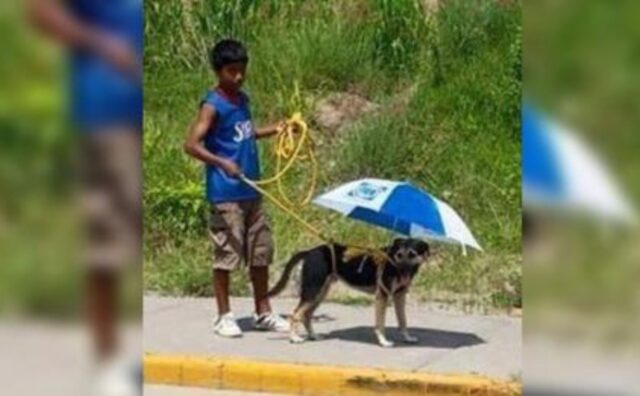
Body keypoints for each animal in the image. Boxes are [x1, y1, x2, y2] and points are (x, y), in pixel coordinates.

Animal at [264, 238, 430, 346]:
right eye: (399, 255)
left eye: (412, 254)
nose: (400, 269)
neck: (392, 259)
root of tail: (310, 251)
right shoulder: (382, 296)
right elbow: (380, 324)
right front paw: (383, 341)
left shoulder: (399, 296)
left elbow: (403, 321)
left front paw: (407, 338)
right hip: (312, 291)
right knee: (295, 314)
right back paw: (294, 338)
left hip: (320, 293)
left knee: (306, 315)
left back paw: (313, 336)